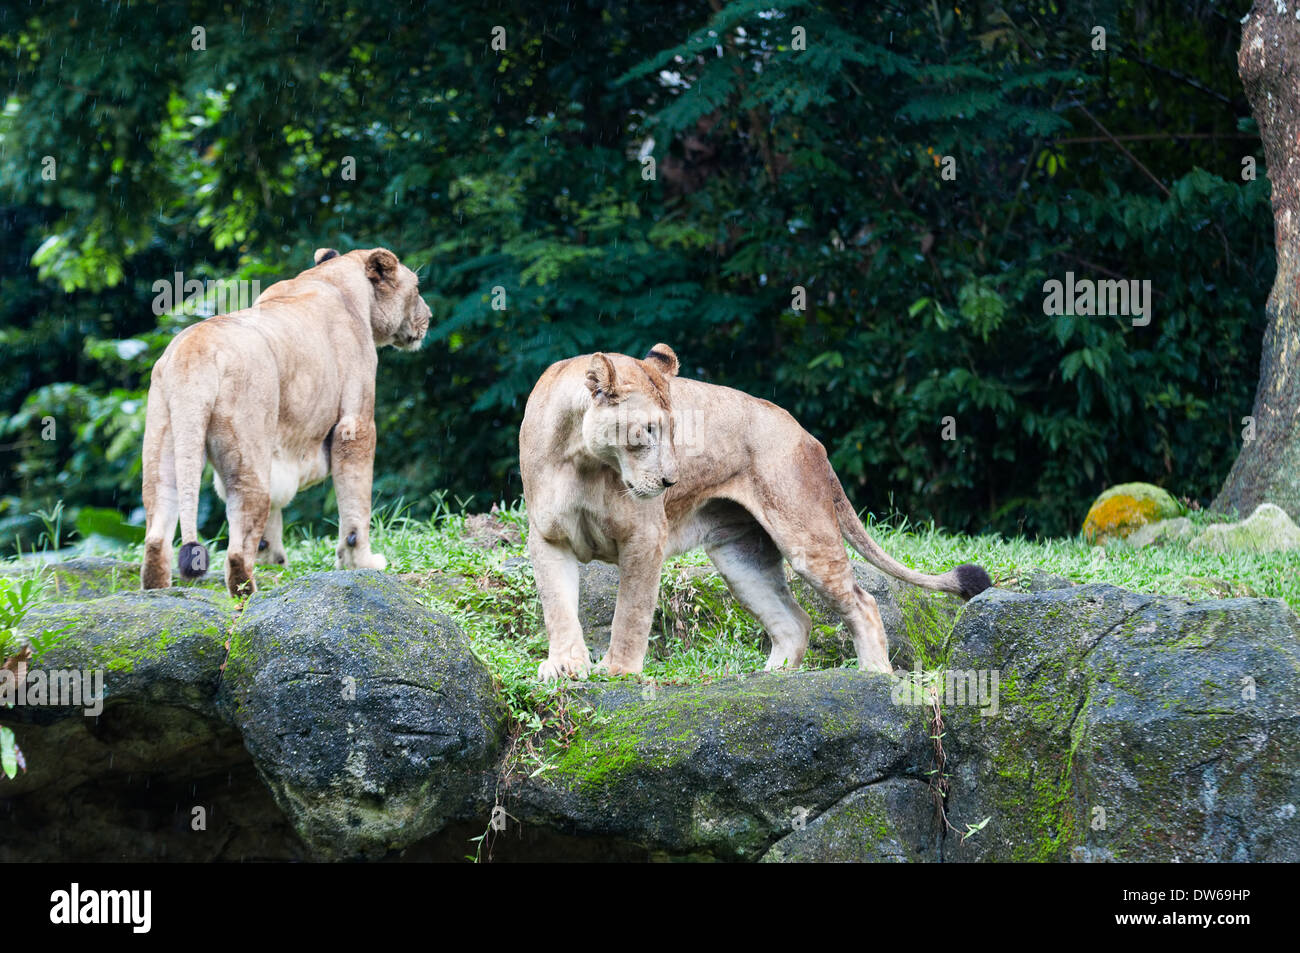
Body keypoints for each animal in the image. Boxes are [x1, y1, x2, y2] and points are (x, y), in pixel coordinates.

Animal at [140, 247, 431, 596]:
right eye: (416, 288)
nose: (429, 317)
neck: (335, 279)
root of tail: (191, 354)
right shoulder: (356, 422)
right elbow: (355, 501)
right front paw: (361, 563)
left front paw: (274, 561)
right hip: (247, 447)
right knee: (237, 549)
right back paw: (250, 596)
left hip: (164, 440)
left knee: (156, 536)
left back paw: (158, 593)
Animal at [519, 344, 993, 680]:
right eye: (647, 431)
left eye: (676, 431)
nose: (671, 481)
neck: (582, 459)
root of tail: (809, 438)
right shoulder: (548, 537)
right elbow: (558, 607)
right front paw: (565, 665)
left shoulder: (644, 538)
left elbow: (630, 613)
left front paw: (617, 671)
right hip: (740, 558)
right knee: (796, 621)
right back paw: (770, 677)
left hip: (805, 537)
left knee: (863, 602)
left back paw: (874, 673)